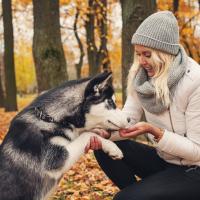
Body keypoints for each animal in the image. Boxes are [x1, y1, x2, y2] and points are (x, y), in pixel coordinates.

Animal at [0, 72, 130, 200]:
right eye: (111, 102)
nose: (129, 119)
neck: (50, 118)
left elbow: (88, 132)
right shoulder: (55, 159)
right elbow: (87, 134)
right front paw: (113, 148)